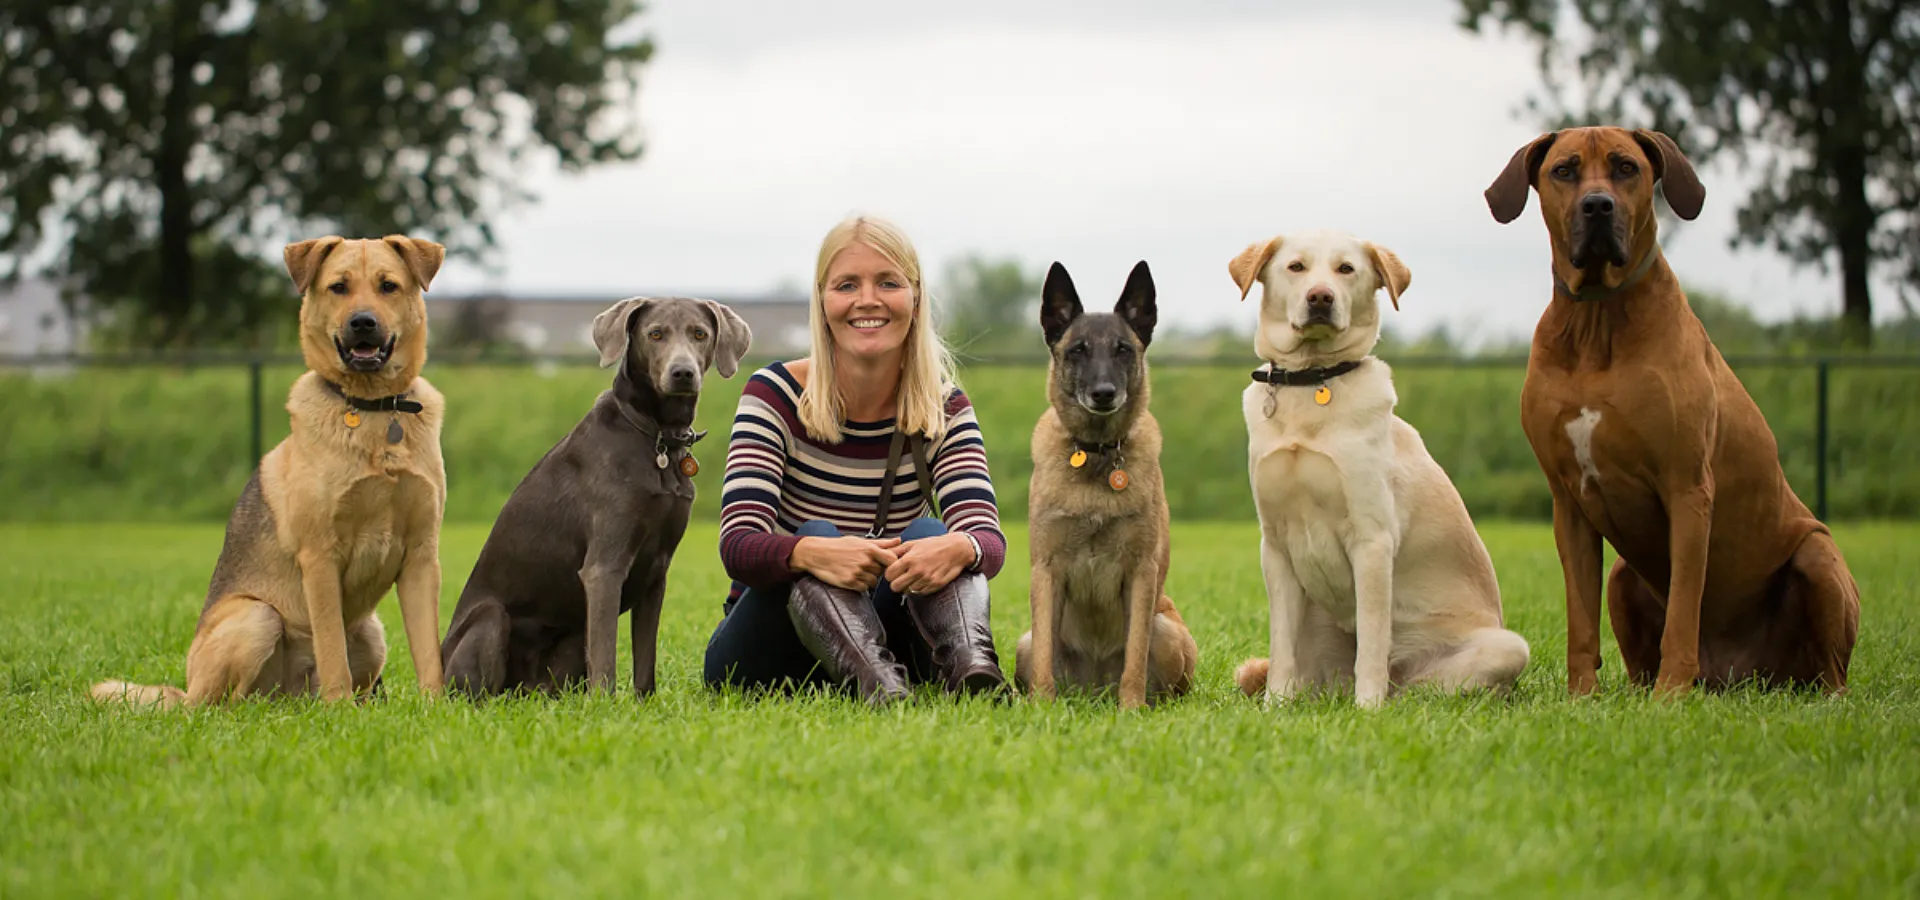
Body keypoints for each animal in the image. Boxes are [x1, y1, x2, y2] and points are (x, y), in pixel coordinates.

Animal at [99, 235, 455, 706]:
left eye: (388, 286)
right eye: (339, 287)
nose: (362, 323)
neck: (374, 412)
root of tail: (286, 696)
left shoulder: (421, 556)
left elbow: (428, 651)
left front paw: (435, 707)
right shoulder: (320, 556)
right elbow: (331, 647)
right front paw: (339, 709)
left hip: (372, 633)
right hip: (257, 617)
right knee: (221, 706)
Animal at [441, 295, 748, 694]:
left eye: (700, 334)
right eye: (655, 334)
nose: (683, 373)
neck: (657, 436)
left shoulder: (657, 575)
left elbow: (644, 660)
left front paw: (644, 704)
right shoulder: (604, 569)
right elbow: (606, 660)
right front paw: (608, 705)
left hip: (571, 642)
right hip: (491, 620)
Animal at [1013, 259, 1190, 710]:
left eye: (1122, 349)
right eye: (1078, 350)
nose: (1104, 393)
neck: (1095, 454)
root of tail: (1094, 691)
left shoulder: (1141, 572)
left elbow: (1134, 655)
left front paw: (1131, 710)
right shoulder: (1046, 570)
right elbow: (1045, 657)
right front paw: (1041, 708)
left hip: (1168, 633)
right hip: (1024, 642)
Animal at [1228, 228, 1528, 706]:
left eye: (1346, 269)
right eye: (1296, 267)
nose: (1320, 297)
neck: (1312, 383)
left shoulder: (1371, 540)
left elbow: (1370, 638)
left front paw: (1367, 710)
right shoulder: (1275, 545)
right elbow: (1281, 648)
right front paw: (1275, 706)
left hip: (1506, 647)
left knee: (1414, 684)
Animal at [1482, 127, 1858, 694]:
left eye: (1626, 167)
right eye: (1564, 171)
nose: (1598, 205)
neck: (1597, 318)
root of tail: (1741, 678)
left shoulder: (1687, 489)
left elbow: (1683, 607)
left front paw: (1672, 695)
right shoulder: (1568, 504)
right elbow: (1580, 620)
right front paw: (1581, 697)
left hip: (1817, 555)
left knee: (1829, 670)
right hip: (1623, 575)